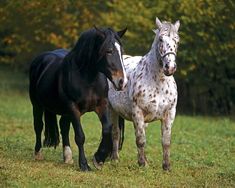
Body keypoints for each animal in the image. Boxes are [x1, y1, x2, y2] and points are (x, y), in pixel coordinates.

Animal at [30, 27, 127, 171]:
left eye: (122, 51)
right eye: (109, 51)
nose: (122, 82)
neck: (88, 79)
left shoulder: (102, 105)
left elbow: (107, 129)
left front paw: (99, 159)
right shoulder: (73, 107)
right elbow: (80, 136)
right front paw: (84, 165)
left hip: (65, 112)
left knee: (63, 127)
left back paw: (68, 157)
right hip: (36, 104)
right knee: (38, 126)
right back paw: (38, 154)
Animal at [108, 17, 180, 170]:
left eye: (177, 40)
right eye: (160, 39)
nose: (170, 67)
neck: (158, 82)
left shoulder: (169, 114)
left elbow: (166, 141)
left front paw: (166, 166)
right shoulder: (137, 112)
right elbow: (140, 140)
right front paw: (142, 164)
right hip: (112, 110)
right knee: (115, 133)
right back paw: (115, 159)